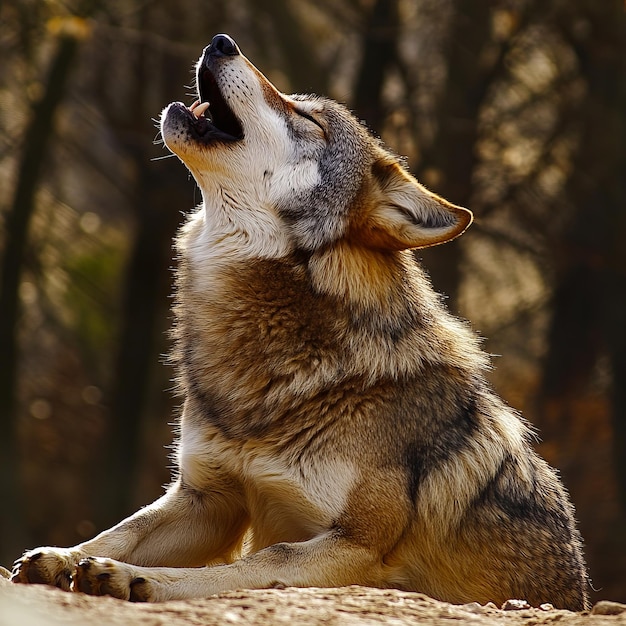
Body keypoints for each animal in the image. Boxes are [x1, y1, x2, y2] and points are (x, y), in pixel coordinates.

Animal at [8, 33, 584, 604]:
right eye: (297, 102)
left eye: (308, 119)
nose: (221, 41)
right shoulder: (206, 499)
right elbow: (124, 528)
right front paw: (63, 557)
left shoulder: (357, 546)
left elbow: (261, 561)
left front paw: (133, 578)